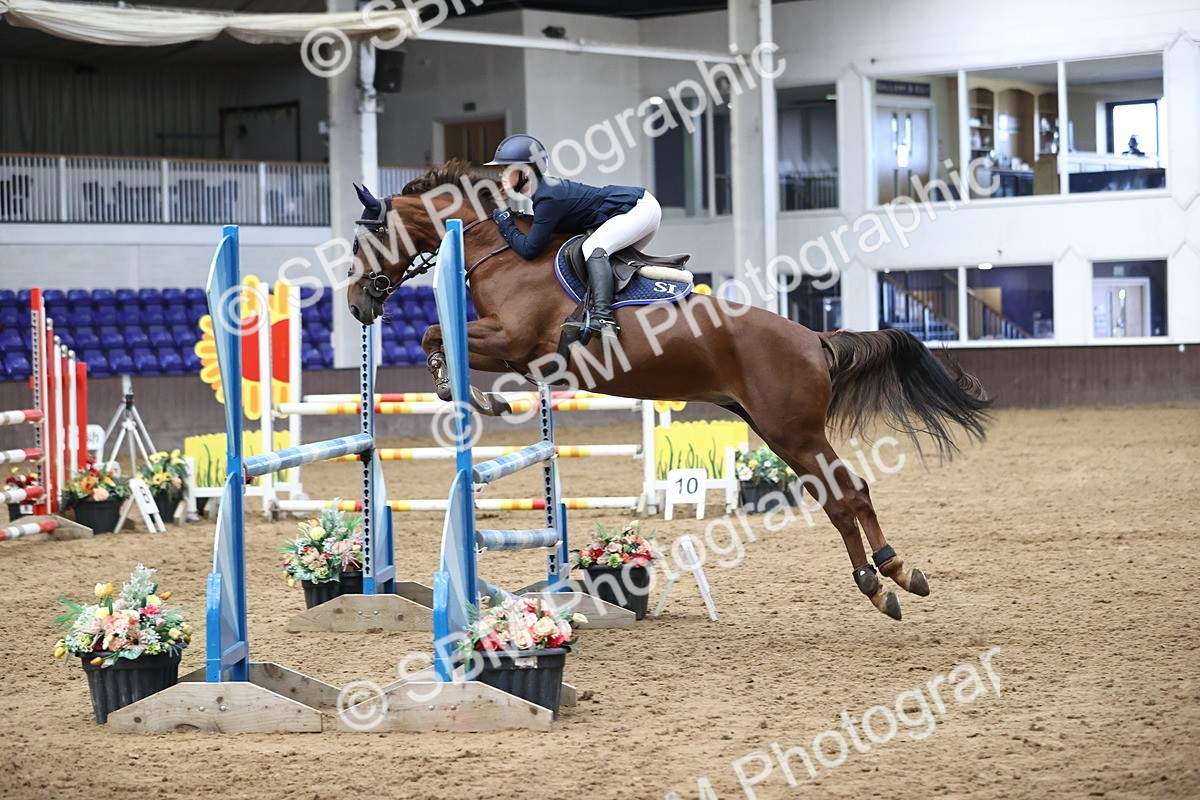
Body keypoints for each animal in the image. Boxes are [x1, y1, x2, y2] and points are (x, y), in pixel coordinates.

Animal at [345, 161, 991, 620]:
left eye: (359, 244)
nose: (356, 305)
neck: (497, 249)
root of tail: (815, 338)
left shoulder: (515, 341)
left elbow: (434, 331)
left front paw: (467, 392)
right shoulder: (511, 351)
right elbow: (436, 337)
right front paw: (474, 394)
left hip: (793, 431)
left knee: (848, 492)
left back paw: (891, 577)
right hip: (778, 431)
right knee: (839, 497)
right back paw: (884, 579)